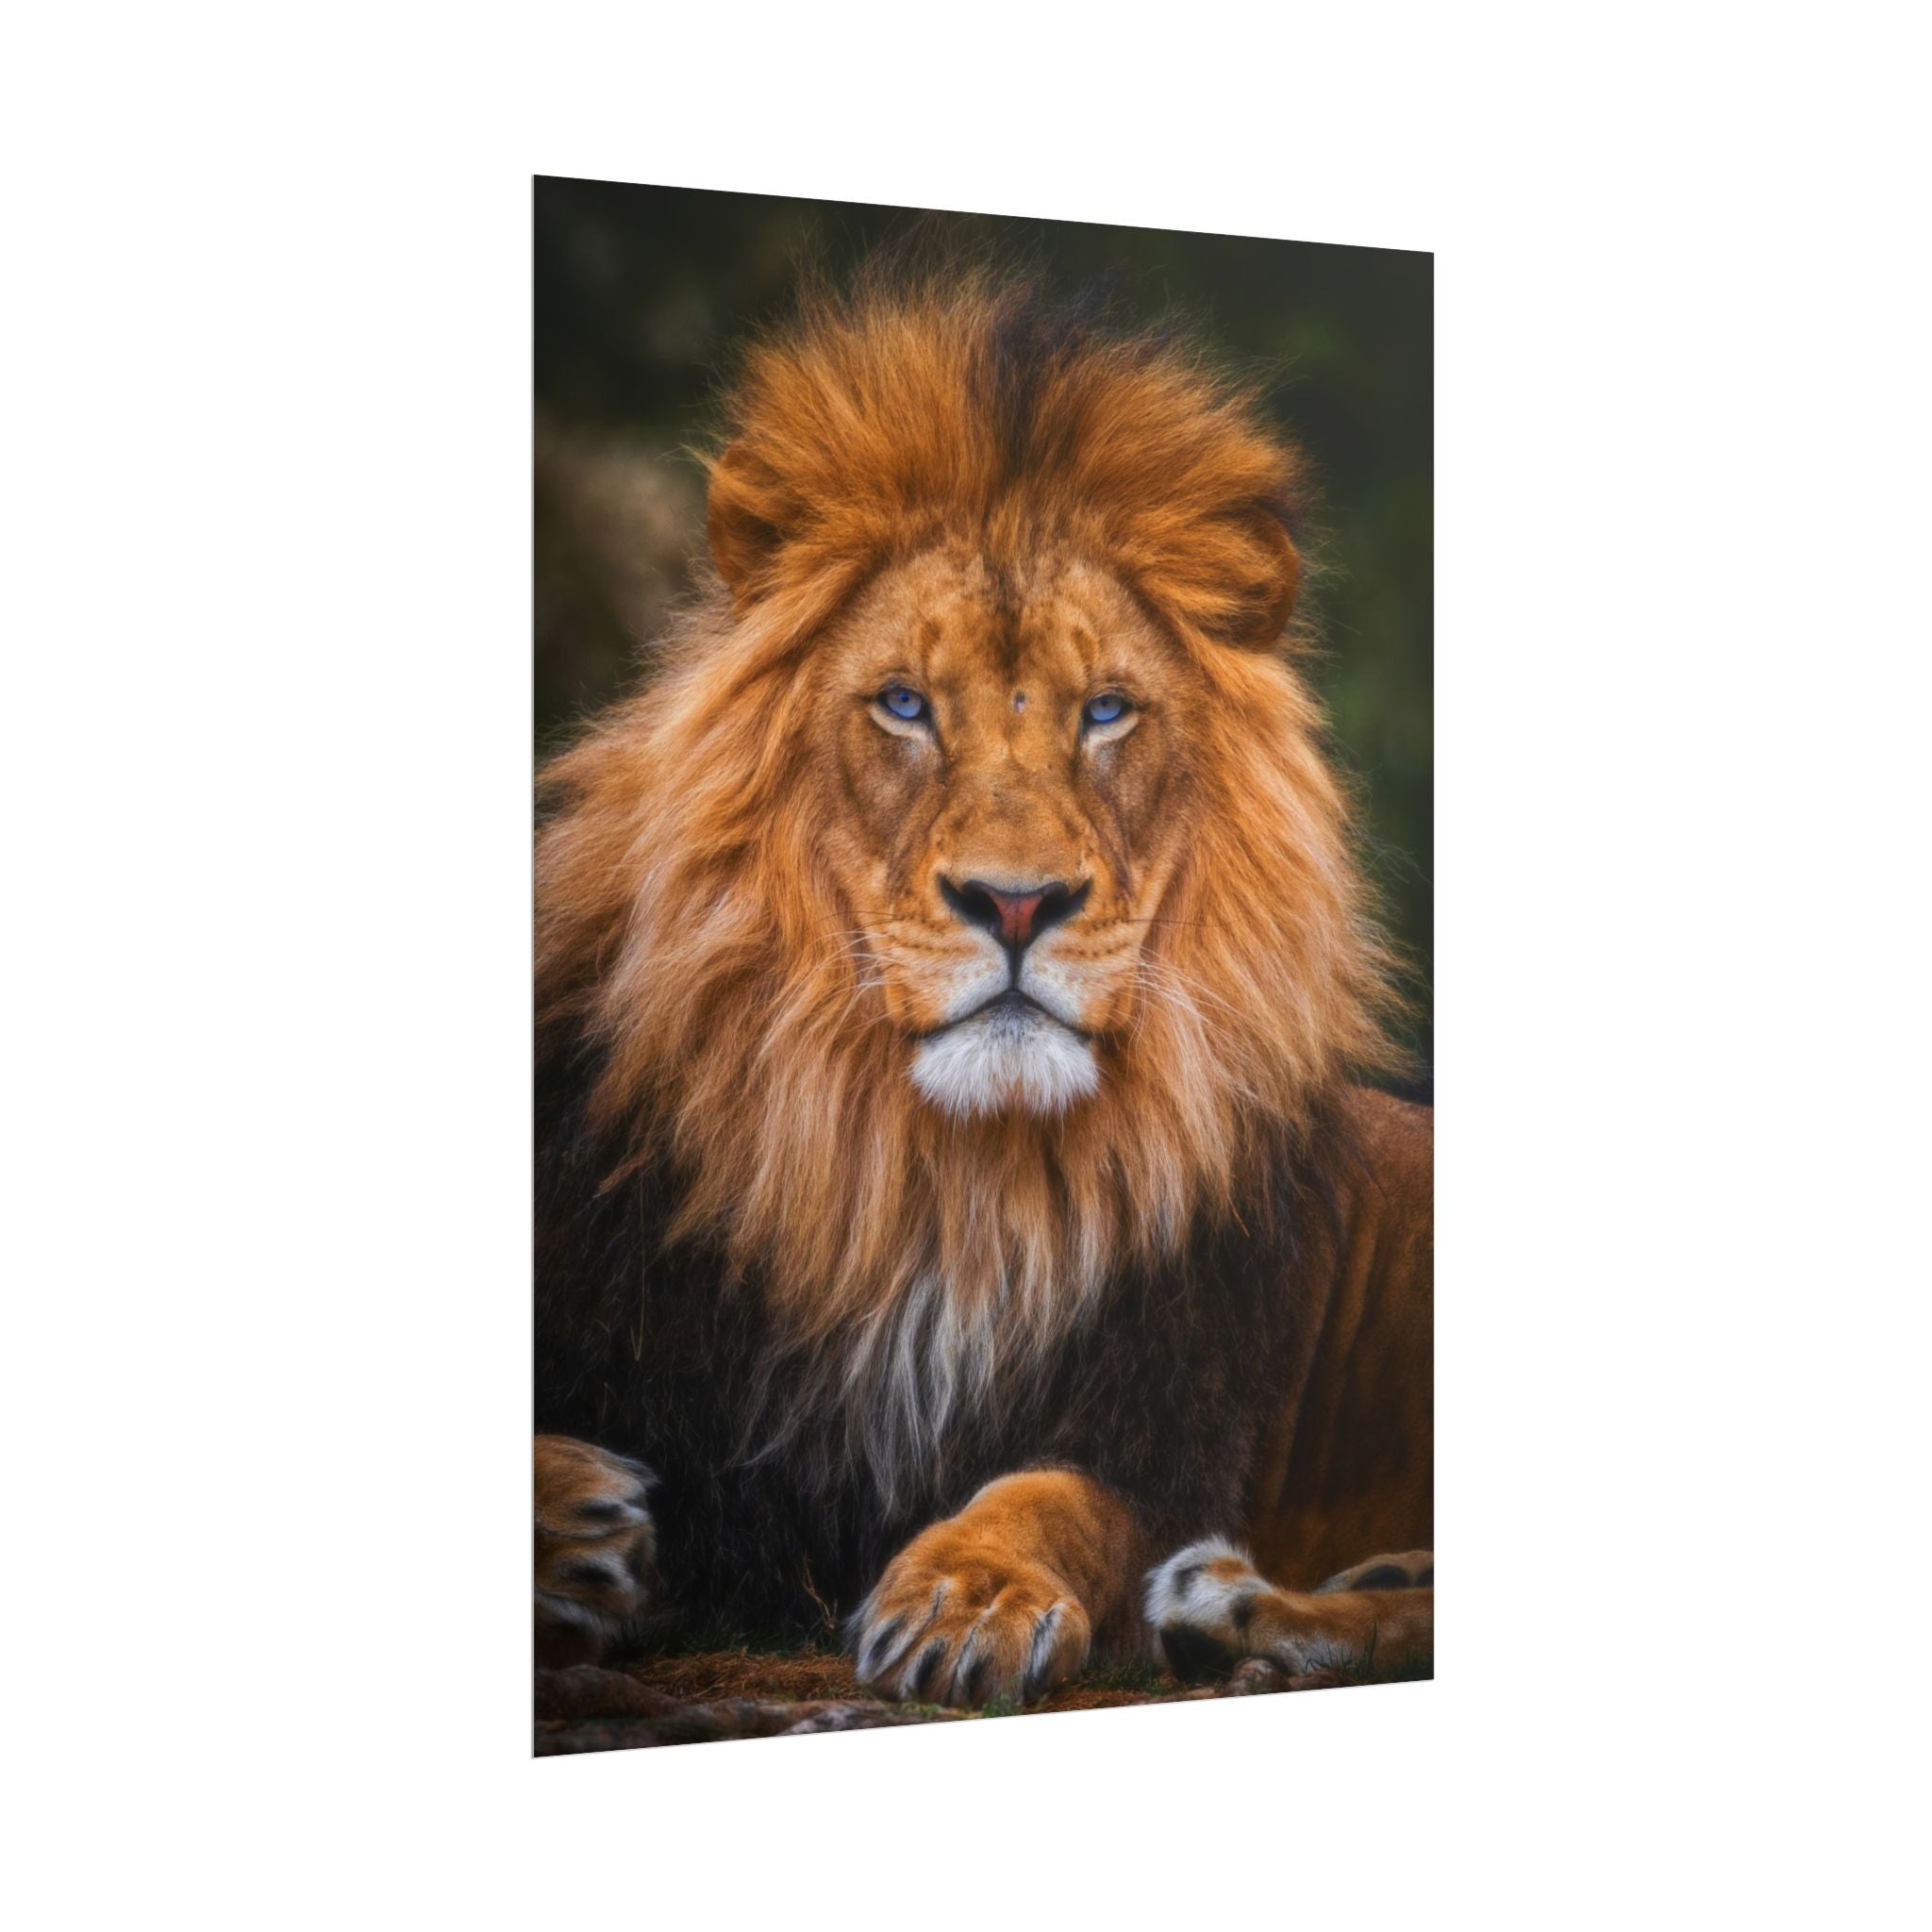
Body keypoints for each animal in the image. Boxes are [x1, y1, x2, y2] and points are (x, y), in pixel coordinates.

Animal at [533, 266, 1433, 1706]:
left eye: (1106, 711)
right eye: (904, 704)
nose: (1016, 903)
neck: (937, 1182)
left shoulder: (1165, 1430)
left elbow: (1052, 1497)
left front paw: (969, 1593)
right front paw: (575, 1522)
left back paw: (1240, 1609)